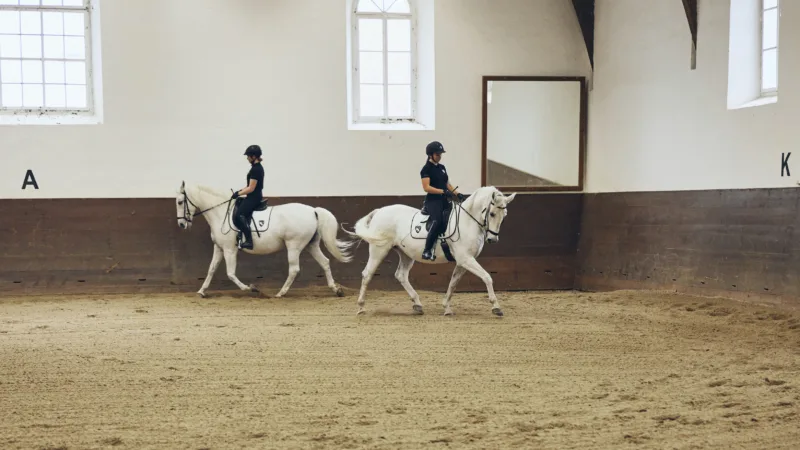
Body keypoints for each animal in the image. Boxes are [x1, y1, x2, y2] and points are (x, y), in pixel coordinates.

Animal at [175, 179, 354, 298]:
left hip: (294, 245)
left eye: (180, 202)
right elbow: (211, 269)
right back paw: (336, 290)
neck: (221, 213)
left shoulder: (229, 249)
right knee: (325, 262)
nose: (182, 224)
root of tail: (313, 211)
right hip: (311, 245)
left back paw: (281, 293)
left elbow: (230, 273)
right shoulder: (219, 248)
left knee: (294, 269)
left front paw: (251, 288)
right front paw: (201, 291)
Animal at [340, 185, 516, 314]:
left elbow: (453, 284)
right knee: (367, 274)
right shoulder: (466, 259)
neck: (467, 221)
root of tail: (380, 211)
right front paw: (496, 307)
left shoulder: (463, 261)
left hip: (405, 254)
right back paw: (361, 307)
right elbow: (487, 277)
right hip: (379, 249)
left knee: (401, 275)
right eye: (492, 213)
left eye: (505, 214)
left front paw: (447, 307)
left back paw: (417, 304)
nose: (493, 239)